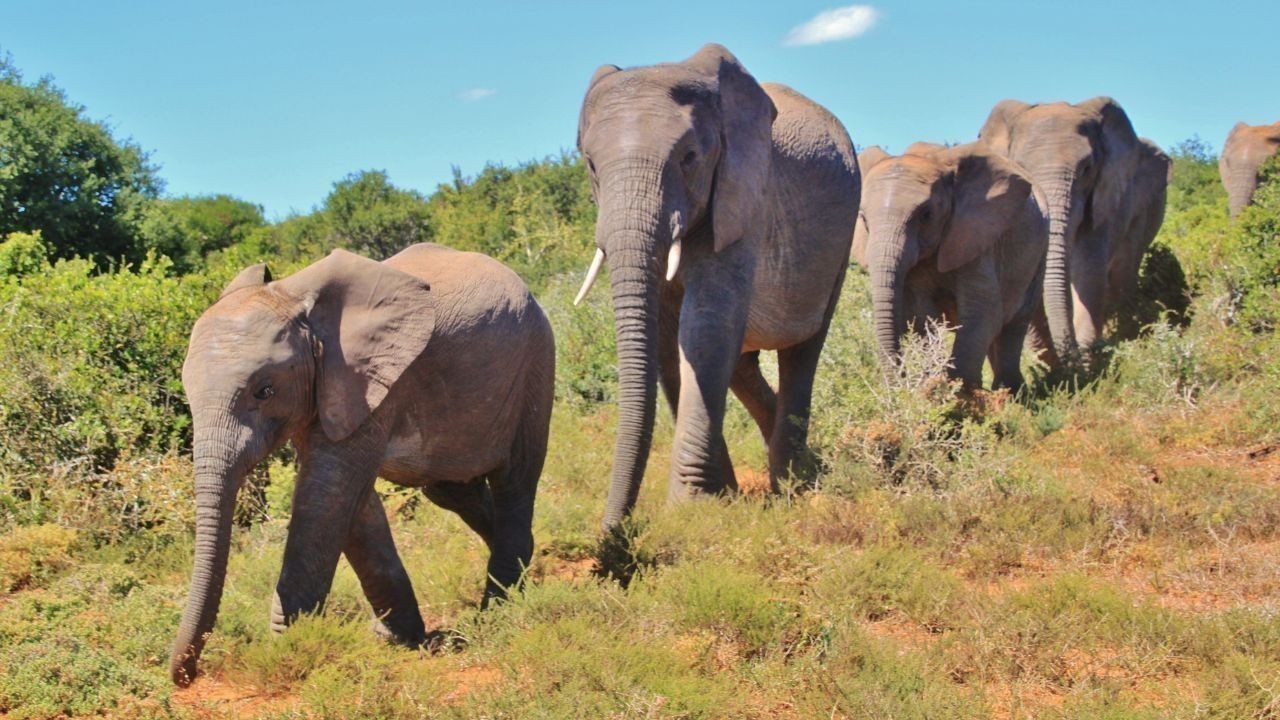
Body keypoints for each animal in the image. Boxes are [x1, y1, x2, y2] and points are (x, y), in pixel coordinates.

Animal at [168, 244, 555, 686]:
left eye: (264, 391)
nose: (186, 676)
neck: (295, 300)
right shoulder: (331, 389)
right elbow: (352, 505)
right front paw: (396, 638)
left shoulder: (371, 379)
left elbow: (327, 495)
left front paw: (292, 648)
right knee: (451, 490)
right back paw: (528, 569)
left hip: (535, 361)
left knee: (515, 477)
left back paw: (496, 609)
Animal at [574, 44, 859, 530]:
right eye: (591, 164)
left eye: (689, 157)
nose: (614, 532)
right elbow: (667, 341)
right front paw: (720, 497)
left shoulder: (743, 195)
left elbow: (705, 327)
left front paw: (692, 506)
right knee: (743, 362)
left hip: (841, 235)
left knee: (803, 349)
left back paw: (793, 481)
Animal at [853, 142, 1049, 390]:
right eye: (863, 219)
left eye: (926, 215)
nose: (902, 382)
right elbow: (920, 314)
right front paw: (931, 388)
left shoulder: (975, 234)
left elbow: (983, 309)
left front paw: (960, 394)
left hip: (1040, 250)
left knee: (1015, 322)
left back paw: (1011, 391)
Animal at [977, 97, 1170, 363]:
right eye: (1022, 169)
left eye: (1087, 169)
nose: (1069, 358)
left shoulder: (1103, 196)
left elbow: (1088, 269)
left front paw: (1089, 358)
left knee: (1123, 271)